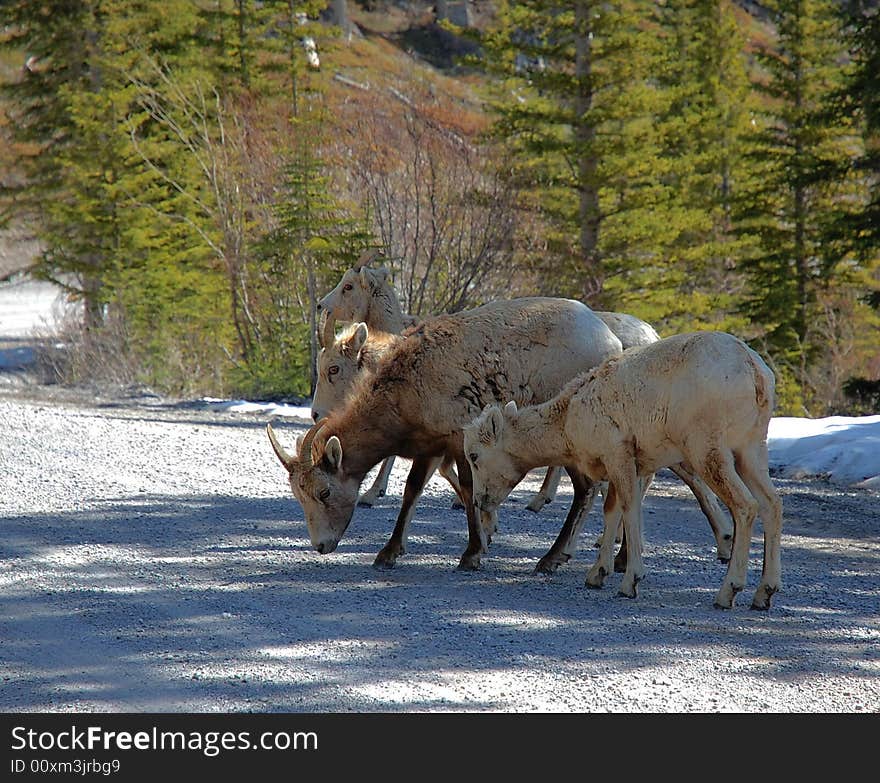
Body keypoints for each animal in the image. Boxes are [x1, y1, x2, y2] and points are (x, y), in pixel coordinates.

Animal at [268, 296, 624, 568]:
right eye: (299, 495)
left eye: (324, 492)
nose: (321, 545)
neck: (407, 389)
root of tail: (612, 343)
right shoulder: (430, 446)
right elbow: (412, 490)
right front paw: (388, 553)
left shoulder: (458, 439)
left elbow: (467, 490)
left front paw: (473, 553)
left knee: (586, 487)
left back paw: (552, 559)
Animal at [464, 330, 780, 612]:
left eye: (474, 455)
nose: (480, 500)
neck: (568, 420)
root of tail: (754, 371)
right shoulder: (621, 465)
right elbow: (611, 511)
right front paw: (597, 575)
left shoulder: (619, 455)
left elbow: (629, 509)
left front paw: (630, 582)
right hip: (750, 449)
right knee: (772, 504)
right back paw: (763, 594)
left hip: (708, 449)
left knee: (745, 506)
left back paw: (728, 592)